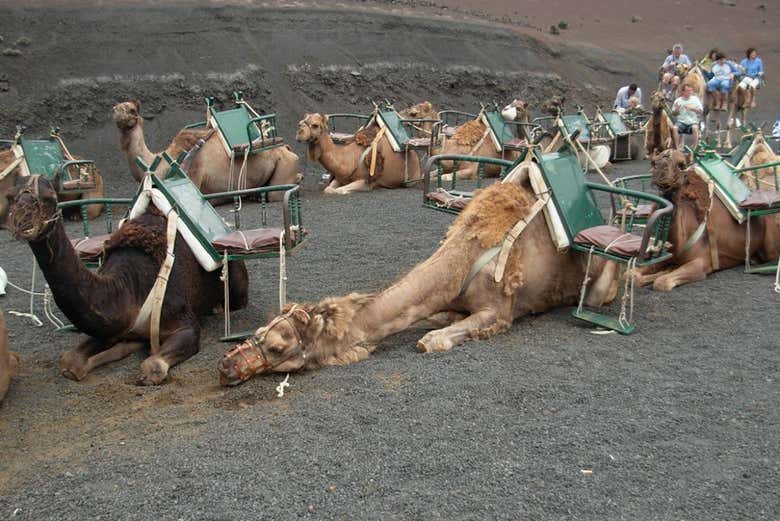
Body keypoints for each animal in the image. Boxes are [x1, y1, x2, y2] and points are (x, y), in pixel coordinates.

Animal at [5, 175, 250, 382]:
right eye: (10, 196)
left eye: (50, 198)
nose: (22, 222)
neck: (129, 287)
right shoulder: (113, 325)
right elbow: (71, 361)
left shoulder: (184, 323)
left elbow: (152, 366)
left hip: (236, 281)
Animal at [111, 99, 300, 199]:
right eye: (116, 107)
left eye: (132, 109)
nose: (115, 111)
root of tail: (287, 148)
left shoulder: (194, 176)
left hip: (285, 165)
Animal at [216, 177, 620, 384]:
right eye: (259, 330)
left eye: (278, 347)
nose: (226, 366)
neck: (463, 259)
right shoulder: (440, 303)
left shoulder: (499, 311)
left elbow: (430, 341)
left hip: (601, 284)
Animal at [632, 148, 780, 290]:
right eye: (653, 162)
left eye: (681, 164)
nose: (660, 170)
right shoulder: (662, 257)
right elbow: (634, 275)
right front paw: (663, 271)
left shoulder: (703, 262)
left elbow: (662, 282)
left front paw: (664, 273)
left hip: (770, 247)